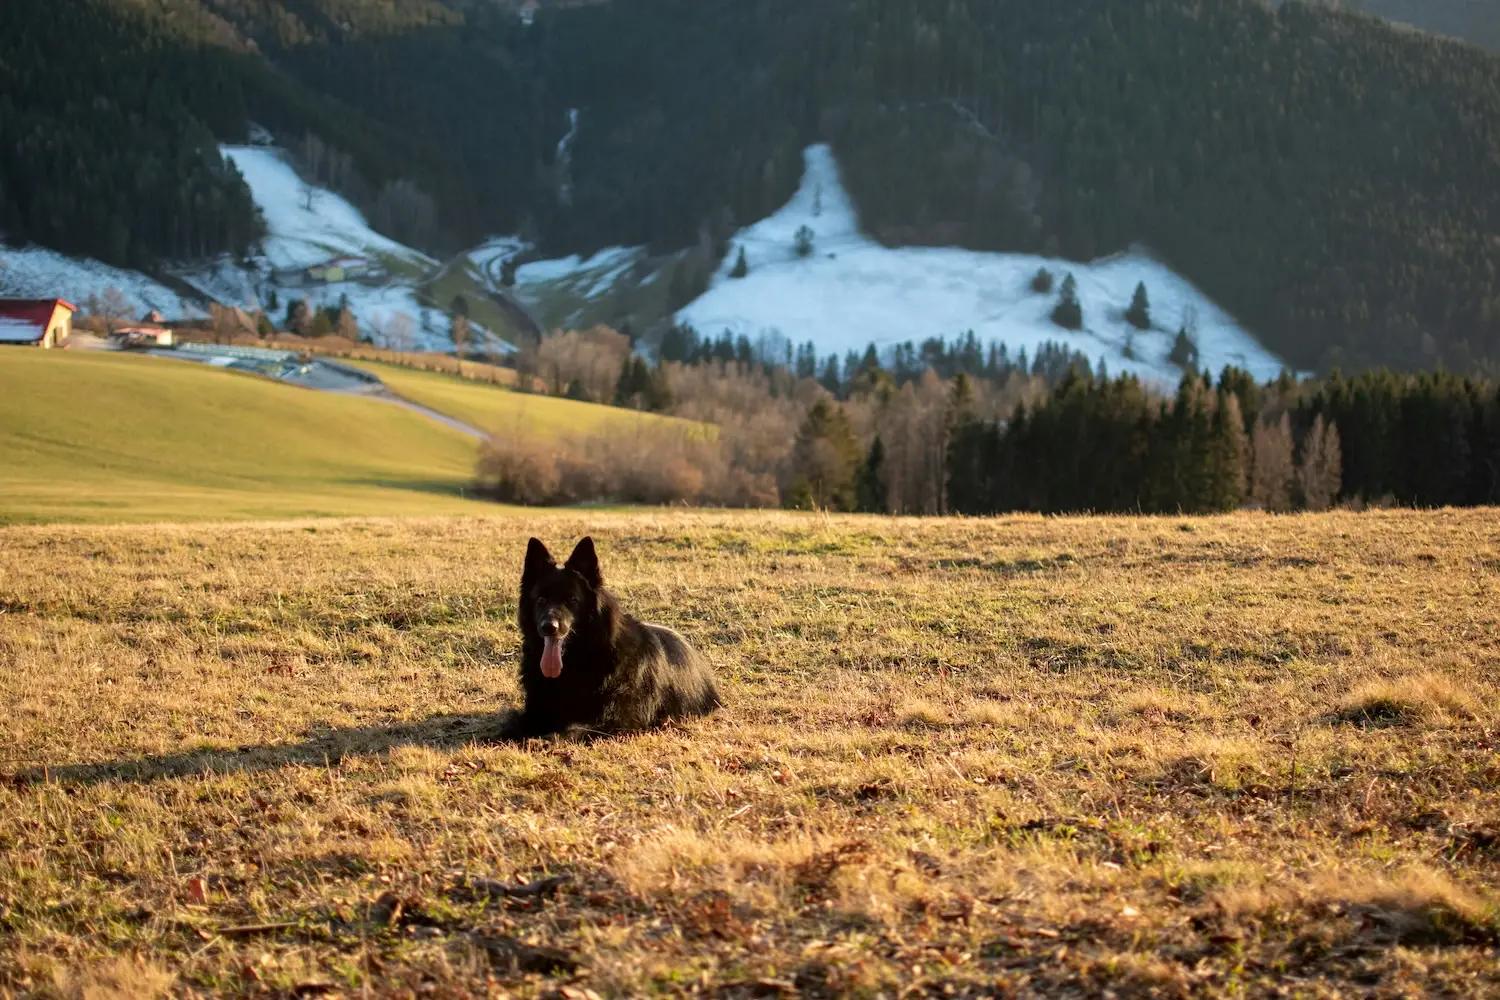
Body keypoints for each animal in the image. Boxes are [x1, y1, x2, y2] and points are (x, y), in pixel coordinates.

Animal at [498, 536, 720, 740]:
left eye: (572, 599)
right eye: (541, 599)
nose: (548, 627)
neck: (579, 661)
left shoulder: (616, 719)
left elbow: (574, 729)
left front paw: (545, 739)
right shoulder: (535, 711)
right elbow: (511, 725)